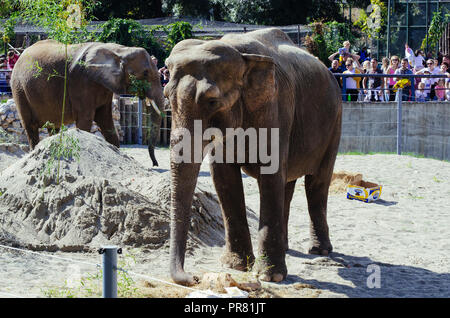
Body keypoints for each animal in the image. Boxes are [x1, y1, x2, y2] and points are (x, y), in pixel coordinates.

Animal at [10, 39, 163, 166]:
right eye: (145, 73)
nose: (155, 164)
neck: (119, 50)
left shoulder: (104, 85)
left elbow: (106, 121)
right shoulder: (81, 82)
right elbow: (86, 119)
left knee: (53, 127)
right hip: (19, 89)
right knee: (31, 126)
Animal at [163, 28, 342, 286]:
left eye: (212, 101)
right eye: (167, 97)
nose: (194, 277)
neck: (241, 55)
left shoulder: (276, 108)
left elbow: (270, 173)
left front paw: (270, 276)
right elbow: (224, 178)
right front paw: (235, 266)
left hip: (335, 122)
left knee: (317, 184)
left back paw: (321, 251)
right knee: (287, 184)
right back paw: (286, 248)